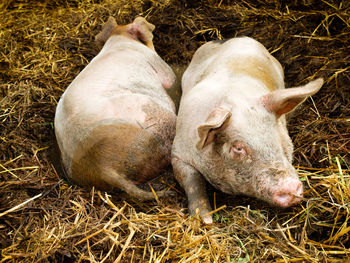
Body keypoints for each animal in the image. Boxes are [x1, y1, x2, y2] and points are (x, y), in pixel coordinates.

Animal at [172, 36, 322, 224]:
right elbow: (192, 180)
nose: (291, 187)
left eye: (277, 136)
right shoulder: (177, 152)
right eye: (238, 148)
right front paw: (206, 219)